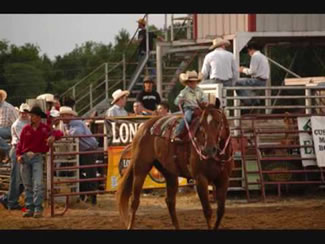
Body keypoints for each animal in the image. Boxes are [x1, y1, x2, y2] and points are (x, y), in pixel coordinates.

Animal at [116, 100, 233, 230]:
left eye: (218, 122)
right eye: (201, 124)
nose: (208, 150)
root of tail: (144, 127)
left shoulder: (224, 179)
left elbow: (221, 211)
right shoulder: (200, 179)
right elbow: (207, 210)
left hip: (170, 173)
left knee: (170, 201)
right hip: (140, 168)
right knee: (134, 201)